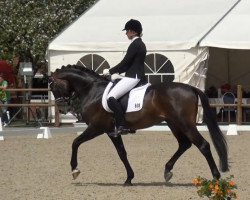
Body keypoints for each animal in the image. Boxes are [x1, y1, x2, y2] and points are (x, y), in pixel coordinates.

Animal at [48, 65, 229, 185]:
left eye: (53, 86)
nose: (62, 108)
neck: (93, 90)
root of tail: (191, 88)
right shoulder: (111, 131)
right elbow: (122, 153)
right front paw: (129, 178)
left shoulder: (97, 127)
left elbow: (75, 142)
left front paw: (75, 170)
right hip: (174, 123)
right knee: (184, 144)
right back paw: (167, 171)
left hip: (185, 124)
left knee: (203, 145)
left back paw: (215, 177)